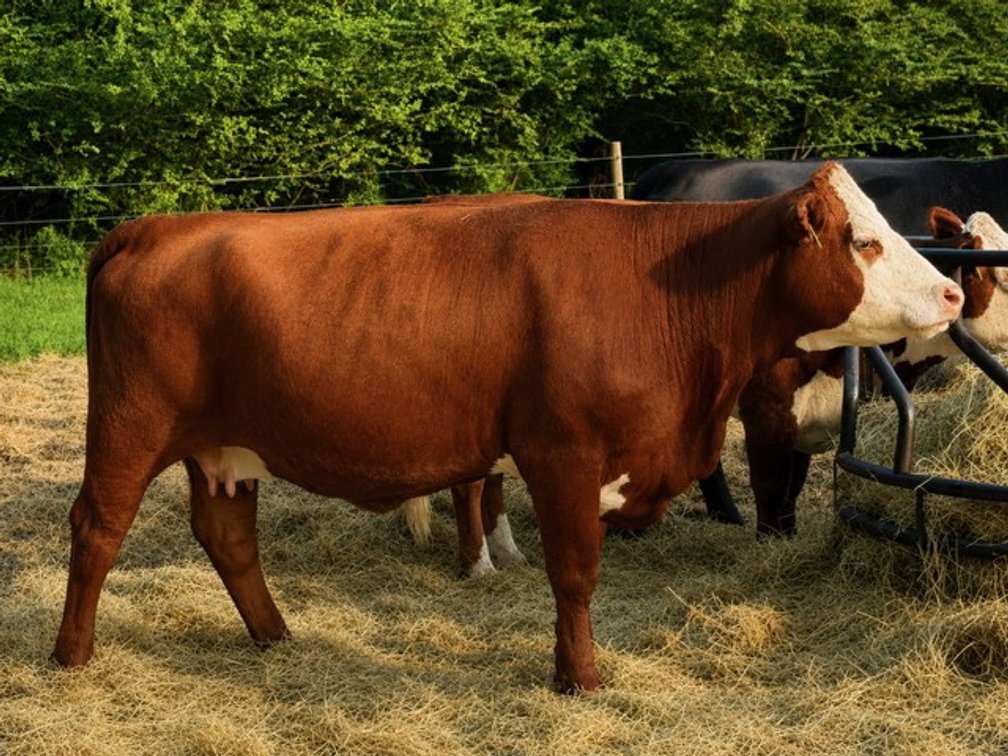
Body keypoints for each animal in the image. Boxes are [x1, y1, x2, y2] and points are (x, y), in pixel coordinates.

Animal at [52, 162, 963, 693]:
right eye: (865, 241)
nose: (954, 293)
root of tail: (157, 227)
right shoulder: (562, 453)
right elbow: (575, 575)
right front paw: (578, 677)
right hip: (130, 430)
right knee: (97, 528)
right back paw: (71, 656)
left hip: (224, 448)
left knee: (228, 536)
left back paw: (275, 637)